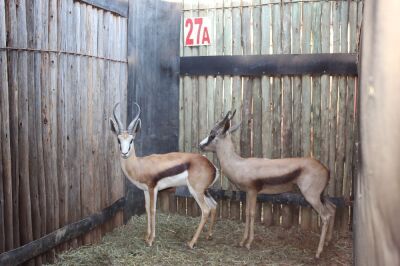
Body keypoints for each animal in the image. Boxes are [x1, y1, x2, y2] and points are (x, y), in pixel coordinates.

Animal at [110, 103, 219, 248]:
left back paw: (191, 243)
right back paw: (209, 235)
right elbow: (146, 208)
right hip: (205, 191)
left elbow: (152, 210)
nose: (124, 153)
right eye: (118, 139)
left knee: (206, 210)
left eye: (131, 140)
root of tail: (212, 166)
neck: (140, 164)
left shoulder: (153, 189)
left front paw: (151, 240)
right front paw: (146, 237)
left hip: (196, 191)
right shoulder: (145, 190)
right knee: (214, 205)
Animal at [199, 109, 334, 258]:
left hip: (311, 197)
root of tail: (325, 169)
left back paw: (318, 252)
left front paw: (248, 243)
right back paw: (327, 242)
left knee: (326, 216)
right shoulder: (248, 193)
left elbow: (251, 213)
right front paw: (242, 241)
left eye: (212, 135)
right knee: (332, 208)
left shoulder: (252, 191)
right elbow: (247, 213)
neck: (239, 164)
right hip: (321, 195)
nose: (200, 145)